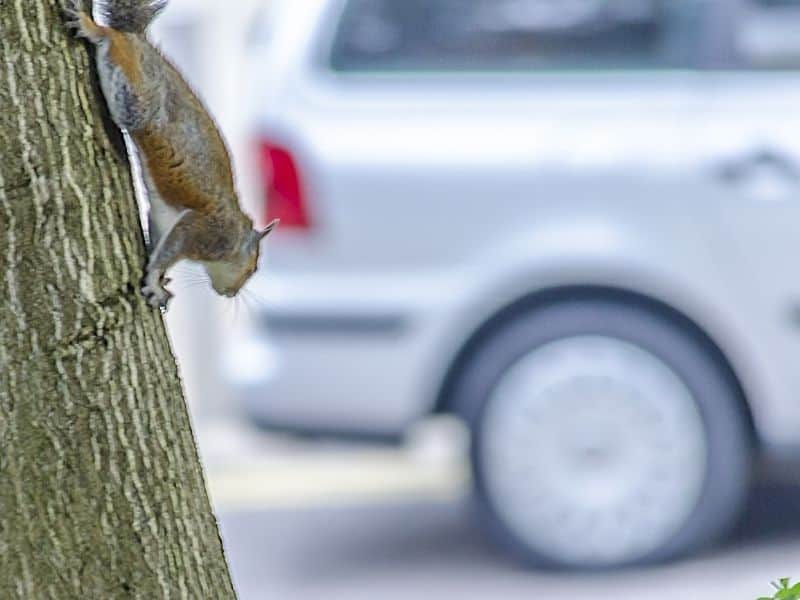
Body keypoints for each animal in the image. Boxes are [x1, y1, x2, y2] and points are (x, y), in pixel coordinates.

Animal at [61, 0, 278, 310]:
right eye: (253, 267)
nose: (233, 293)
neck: (235, 233)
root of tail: (141, 41)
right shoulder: (204, 230)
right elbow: (170, 252)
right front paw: (155, 281)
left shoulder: (163, 219)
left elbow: (158, 244)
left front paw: (161, 280)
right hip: (137, 103)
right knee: (113, 42)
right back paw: (94, 30)